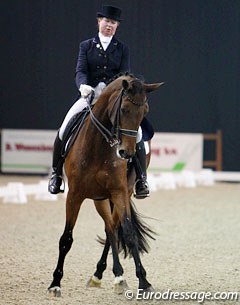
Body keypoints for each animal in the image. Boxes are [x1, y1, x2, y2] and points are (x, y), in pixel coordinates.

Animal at [47, 73, 162, 294]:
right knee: (109, 228)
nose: (127, 153)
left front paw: (144, 282)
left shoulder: (119, 191)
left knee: (112, 230)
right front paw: (55, 283)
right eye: (124, 109)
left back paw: (111, 275)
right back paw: (104, 275)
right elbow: (66, 239)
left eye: (145, 111)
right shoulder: (74, 195)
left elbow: (129, 233)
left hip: (119, 194)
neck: (98, 145)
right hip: (99, 198)